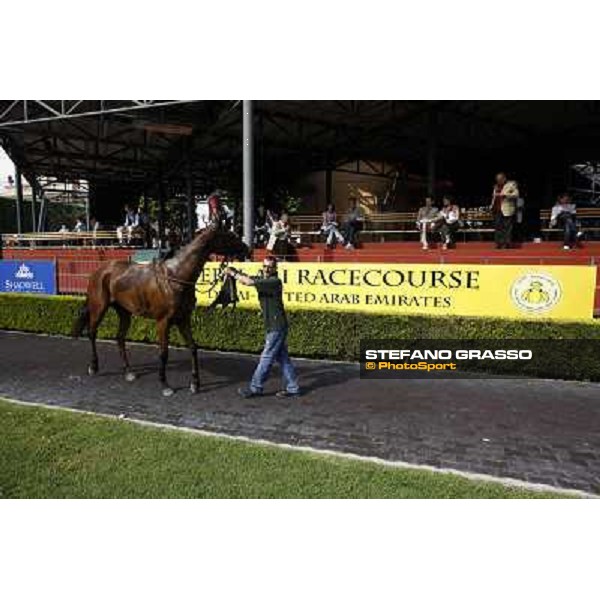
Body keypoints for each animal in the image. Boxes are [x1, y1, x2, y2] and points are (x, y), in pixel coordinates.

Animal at [74, 223, 250, 396]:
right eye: (228, 235)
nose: (246, 249)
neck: (177, 277)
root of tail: (100, 271)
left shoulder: (183, 319)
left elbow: (193, 347)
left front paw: (195, 383)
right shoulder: (163, 322)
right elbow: (164, 353)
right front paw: (165, 384)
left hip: (124, 312)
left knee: (120, 338)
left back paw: (128, 372)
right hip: (99, 307)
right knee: (92, 332)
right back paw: (94, 366)